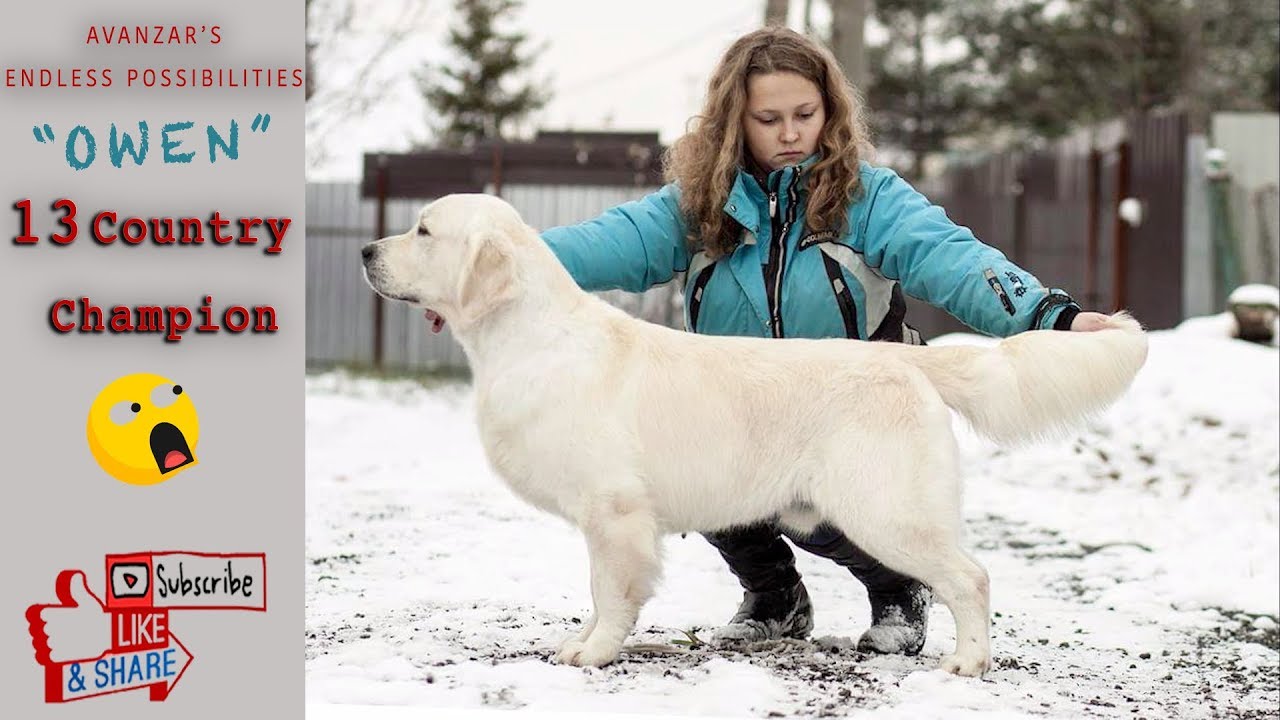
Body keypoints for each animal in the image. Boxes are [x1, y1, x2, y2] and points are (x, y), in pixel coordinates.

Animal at [360, 190, 1152, 671]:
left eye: (423, 230)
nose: (366, 252)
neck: (528, 338)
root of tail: (906, 359)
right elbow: (595, 593)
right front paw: (578, 641)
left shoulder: (613, 510)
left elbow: (610, 591)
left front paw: (596, 652)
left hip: (886, 509)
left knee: (970, 577)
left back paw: (967, 660)